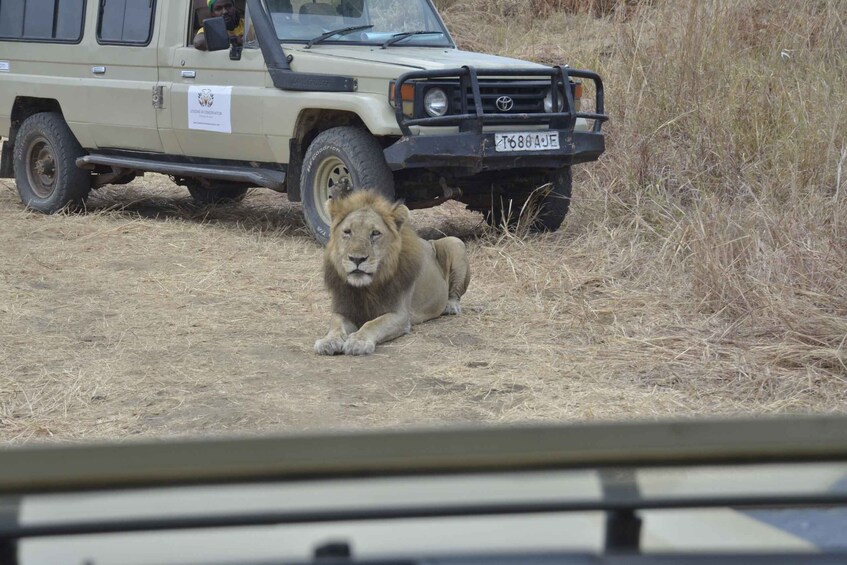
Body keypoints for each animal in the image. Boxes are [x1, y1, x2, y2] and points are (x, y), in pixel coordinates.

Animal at [314, 189, 470, 356]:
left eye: (375, 233)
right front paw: (328, 341)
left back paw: (450, 306)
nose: (357, 259)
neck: (366, 288)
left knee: (455, 294)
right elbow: (335, 325)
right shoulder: (343, 309)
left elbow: (373, 324)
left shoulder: (399, 315)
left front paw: (358, 342)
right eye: (347, 232)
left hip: (455, 243)